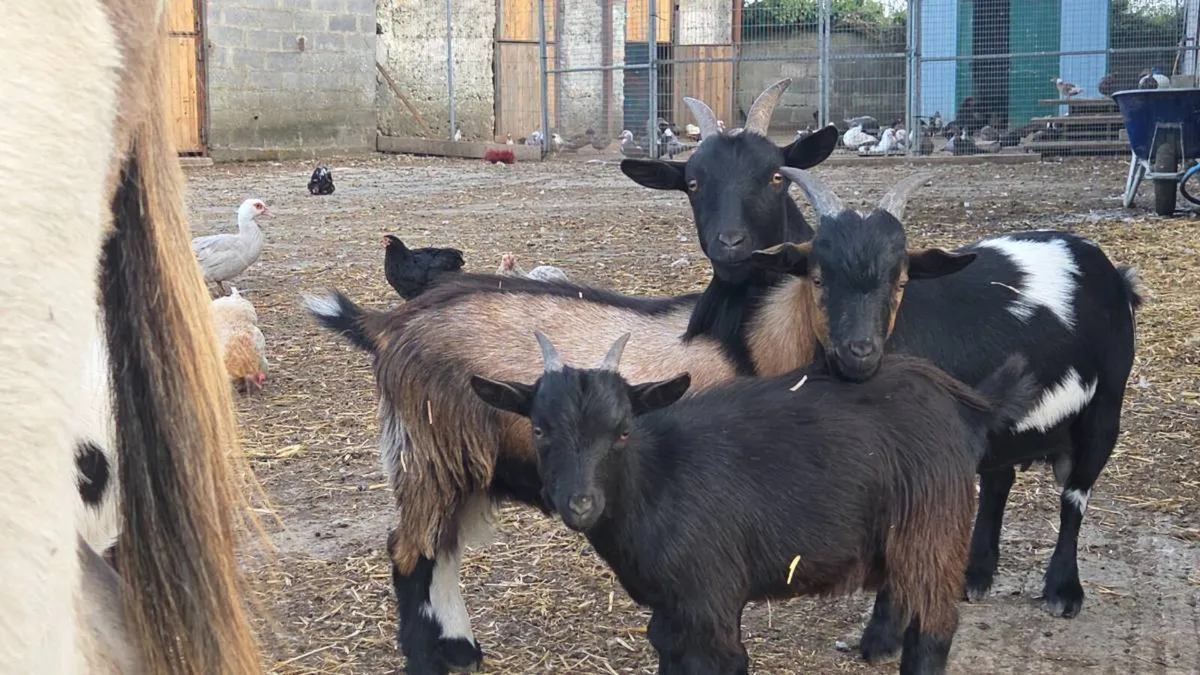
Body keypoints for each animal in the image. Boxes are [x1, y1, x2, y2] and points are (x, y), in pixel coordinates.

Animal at [471, 332, 1037, 675]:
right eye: (539, 429)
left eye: (623, 431)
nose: (580, 503)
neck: (657, 479)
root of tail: (965, 405)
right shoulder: (671, 609)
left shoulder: (711, 600)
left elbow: (727, 661)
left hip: (932, 529)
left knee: (934, 628)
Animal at [751, 167, 1143, 662]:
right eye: (818, 279)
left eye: (900, 281)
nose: (859, 351)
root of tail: (1112, 273)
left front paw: (881, 638)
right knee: (998, 481)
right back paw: (975, 575)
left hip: (1105, 405)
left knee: (1076, 494)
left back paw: (1062, 591)